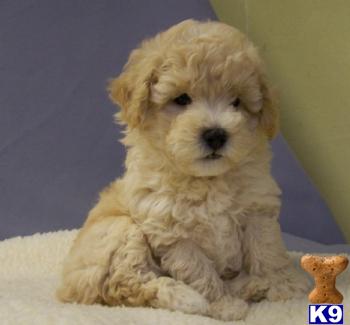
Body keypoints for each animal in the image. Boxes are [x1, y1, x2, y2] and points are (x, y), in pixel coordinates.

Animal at [56, 19, 308, 320]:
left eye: (236, 102)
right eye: (182, 99)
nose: (216, 134)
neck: (207, 180)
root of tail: (67, 288)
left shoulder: (257, 210)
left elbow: (267, 250)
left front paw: (284, 286)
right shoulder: (172, 231)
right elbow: (200, 272)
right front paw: (222, 304)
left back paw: (247, 284)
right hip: (120, 232)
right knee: (126, 284)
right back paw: (187, 296)